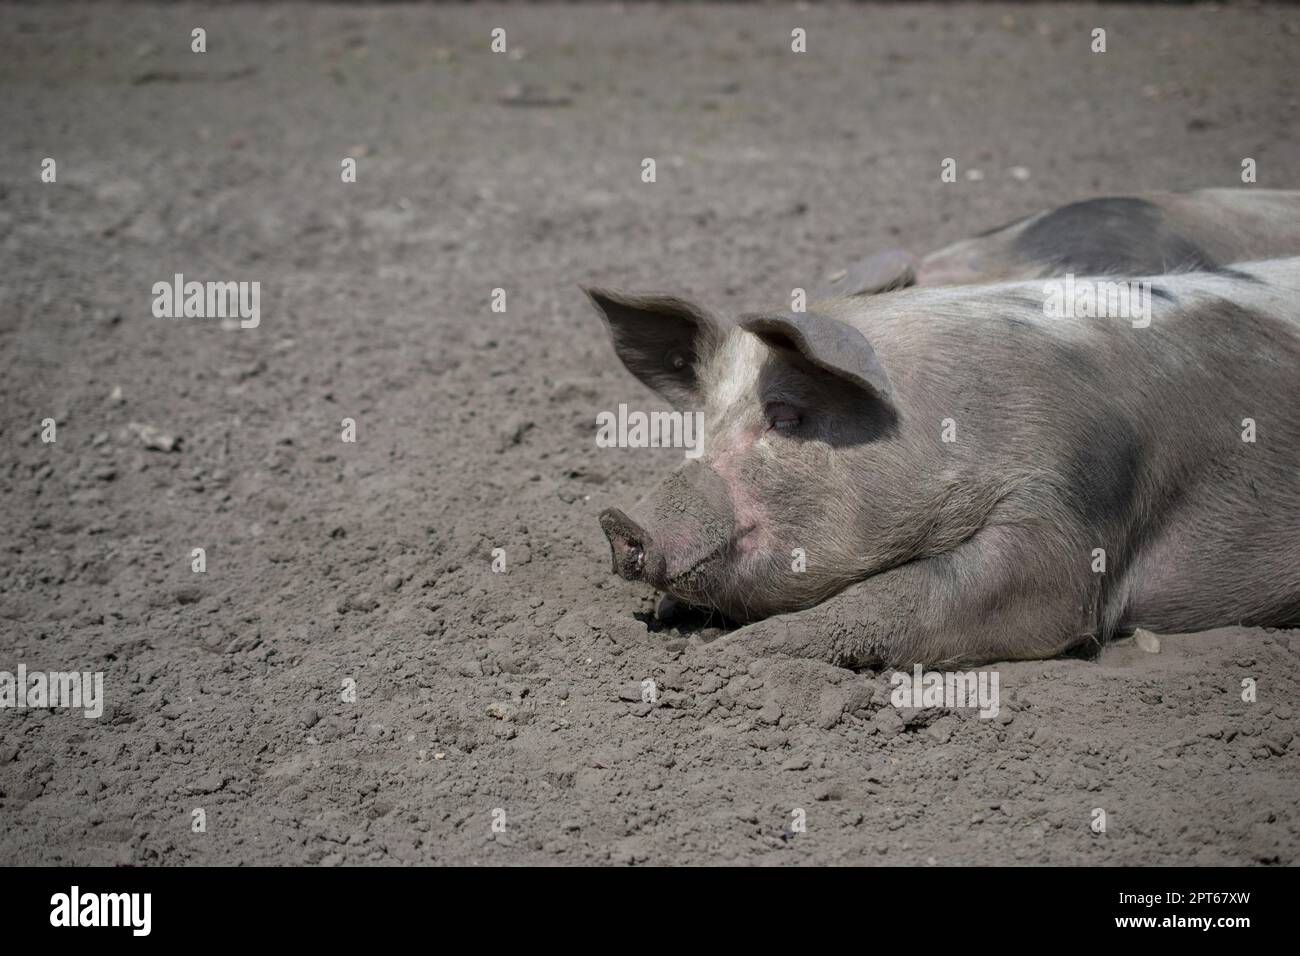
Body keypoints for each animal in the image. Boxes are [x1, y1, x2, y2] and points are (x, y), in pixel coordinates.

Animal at [590, 257, 1300, 667]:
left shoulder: (1072, 514)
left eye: (786, 416)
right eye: (705, 416)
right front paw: (670, 620)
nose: (621, 521)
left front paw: (726, 655)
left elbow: (903, 598)